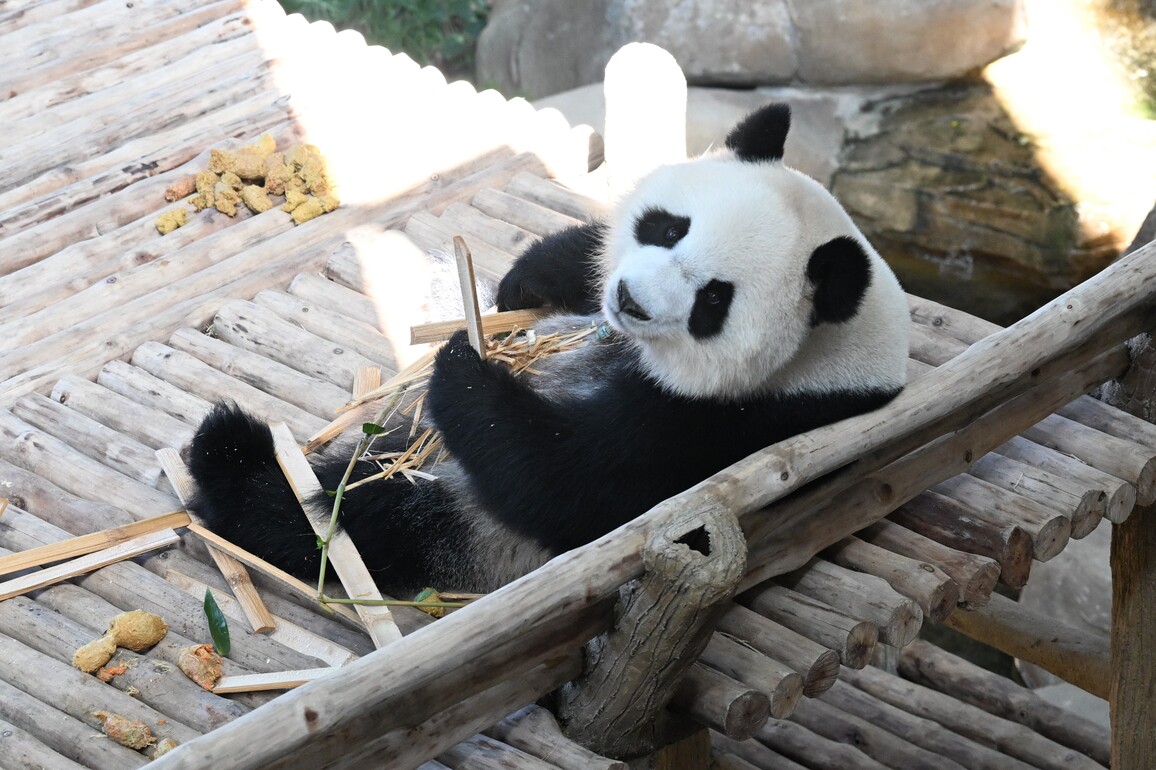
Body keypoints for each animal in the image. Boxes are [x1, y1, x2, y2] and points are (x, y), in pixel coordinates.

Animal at [186, 103, 909, 595]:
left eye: (714, 300)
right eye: (667, 227)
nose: (629, 301)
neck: (831, 359)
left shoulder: (730, 427)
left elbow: (570, 480)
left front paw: (463, 368)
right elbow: (572, 257)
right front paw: (524, 282)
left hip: (471, 529)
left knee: (366, 519)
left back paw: (234, 469)